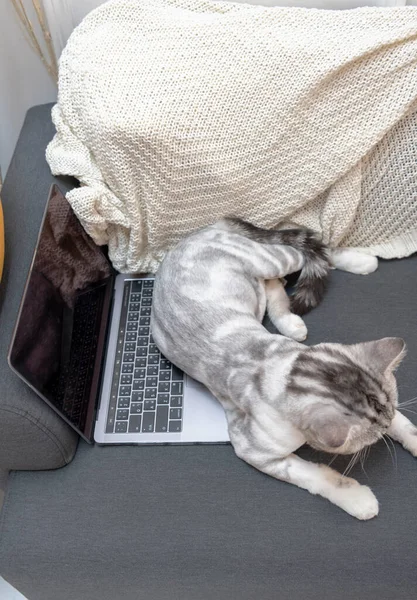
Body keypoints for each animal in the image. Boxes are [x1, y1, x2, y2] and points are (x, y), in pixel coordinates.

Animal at [151, 218, 414, 516]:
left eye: (387, 423)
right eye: (373, 436)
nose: (385, 426)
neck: (283, 368)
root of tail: (207, 227)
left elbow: (405, 424)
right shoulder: (253, 449)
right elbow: (318, 475)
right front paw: (357, 498)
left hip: (270, 261)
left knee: (314, 249)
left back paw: (360, 261)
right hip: (265, 263)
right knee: (291, 264)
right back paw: (292, 319)